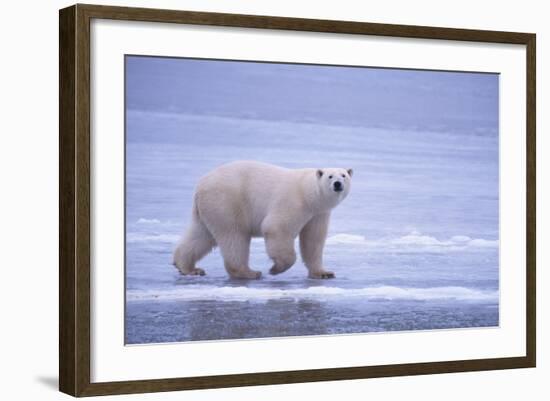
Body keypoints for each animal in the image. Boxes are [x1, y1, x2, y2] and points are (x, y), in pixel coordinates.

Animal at [172, 159, 354, 278]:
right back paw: (248, 272)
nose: (338, 184)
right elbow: (276, 227)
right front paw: (276, 268)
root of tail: (200, 186)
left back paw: (188, 267)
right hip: (227, 201)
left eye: (344, 175)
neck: (308, 193)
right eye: (330, 176)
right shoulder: (293, 202)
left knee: (201, 235)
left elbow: (313, 241)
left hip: (210, 208)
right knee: (234, 236)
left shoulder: (318, 213)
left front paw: (324, 273)